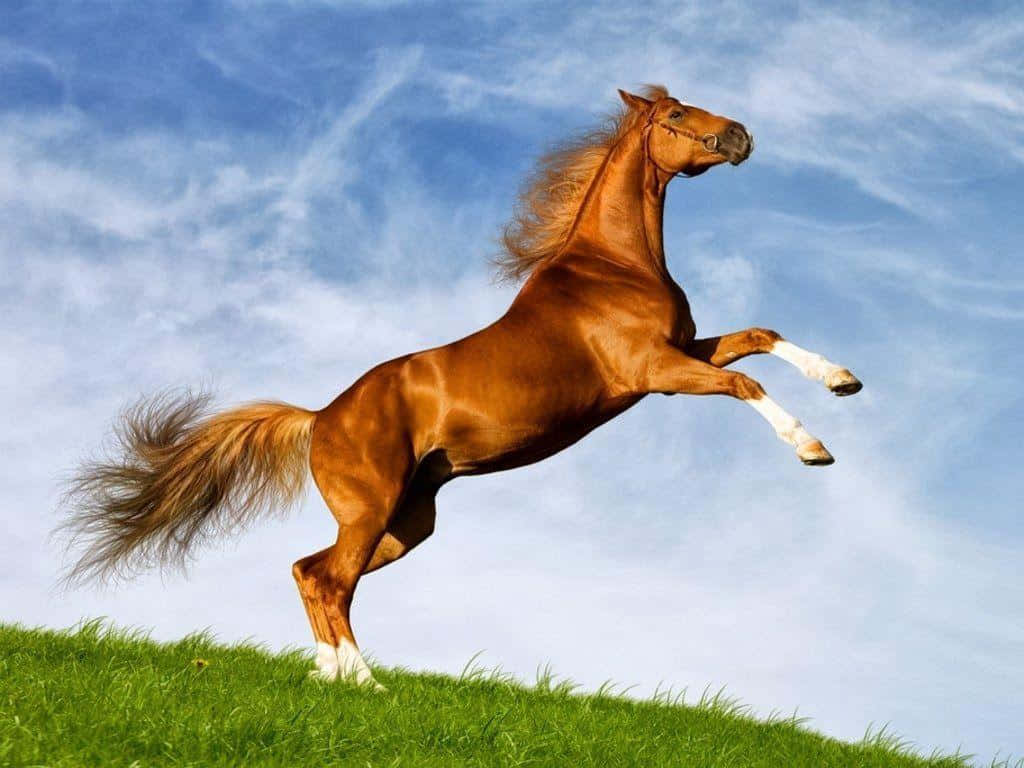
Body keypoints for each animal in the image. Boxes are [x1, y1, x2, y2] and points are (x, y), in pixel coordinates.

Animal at [61, 85, 861, 688]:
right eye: (673, 116)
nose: (740, 135)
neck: (613, 267)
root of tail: (320, 416)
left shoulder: (684, 350)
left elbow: (760, 335)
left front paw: (843, 379)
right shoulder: (654, 372)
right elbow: (746, 384)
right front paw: (813, 448)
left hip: (406, 523)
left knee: (309, 571)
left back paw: (330, 676)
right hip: (372, 509)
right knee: (328, 579)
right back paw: (366, 683)